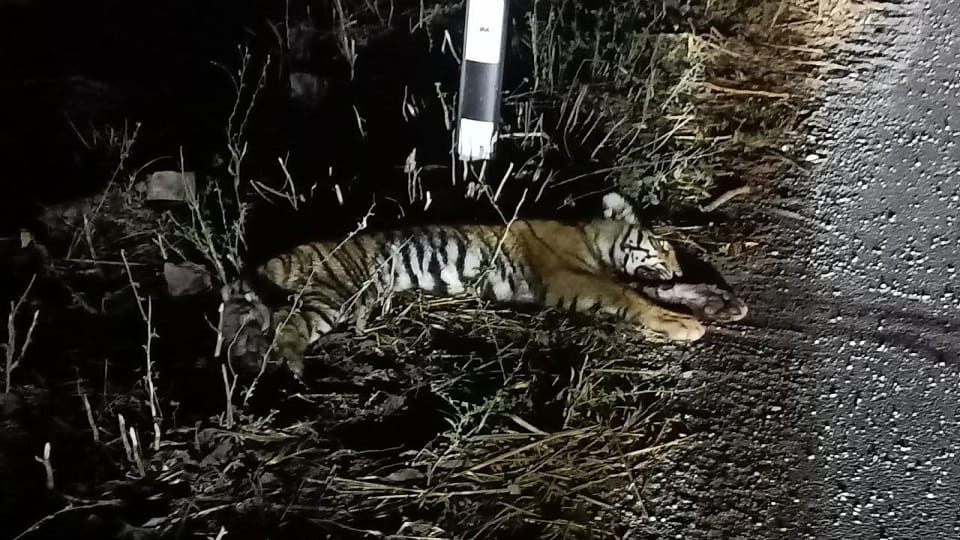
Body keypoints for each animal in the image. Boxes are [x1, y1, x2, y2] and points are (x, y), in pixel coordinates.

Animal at [229, 193, 747, 376]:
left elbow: (660, 291)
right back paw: (289, 367)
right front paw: (684, 324)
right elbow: (633, 296)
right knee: (286, 328)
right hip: (331, 294)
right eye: (662, 246)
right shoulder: (571, 277)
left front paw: (722, 302)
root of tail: (299, 248)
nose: (676, 267)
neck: (592, 238)